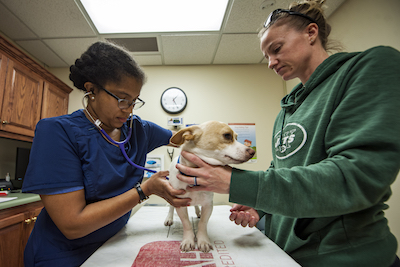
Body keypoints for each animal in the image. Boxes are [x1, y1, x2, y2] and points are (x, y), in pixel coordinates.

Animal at [163, 121, 255, 253]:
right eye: (227, 135)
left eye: (237, 138)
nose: (253, 152)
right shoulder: (180, 204)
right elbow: (186, 223)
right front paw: (188, 240)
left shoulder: (207, 205)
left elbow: (202, 224)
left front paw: (203, 241)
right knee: (171, 207)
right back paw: (169, 218)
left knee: (196, 205)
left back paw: (197, 212)